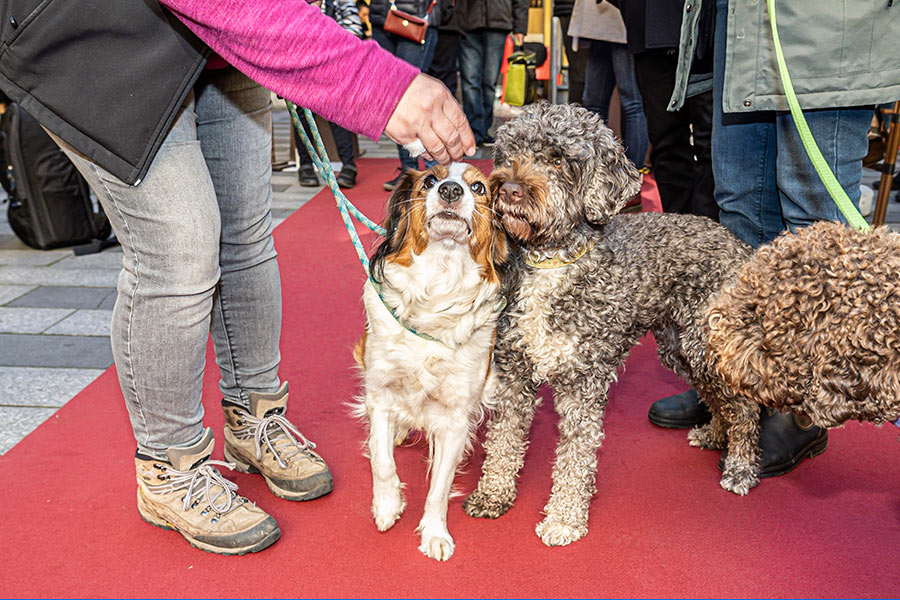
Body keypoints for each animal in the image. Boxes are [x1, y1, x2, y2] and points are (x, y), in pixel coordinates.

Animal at [352, 162, 506, 560]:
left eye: (479, 187)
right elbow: (381, 459)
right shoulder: (380, 394)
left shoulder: (454, 419)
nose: (451, 191)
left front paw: (435, 534)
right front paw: (387, 505)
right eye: (430, 181)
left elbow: (439, 489)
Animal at [460, 102, 748, 544]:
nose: (507, 189)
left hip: (707, 346)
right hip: (680, 348)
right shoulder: (514, 373)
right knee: (718, 398)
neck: (552, 261)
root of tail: (738, 245)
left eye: (558, 159)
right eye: (509, 153)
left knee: (743, 406)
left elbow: (575, 460)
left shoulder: (584, 383)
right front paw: (493, 493)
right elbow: (504, 441)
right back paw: (716, 434)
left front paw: (564, 518)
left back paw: (741, 465)